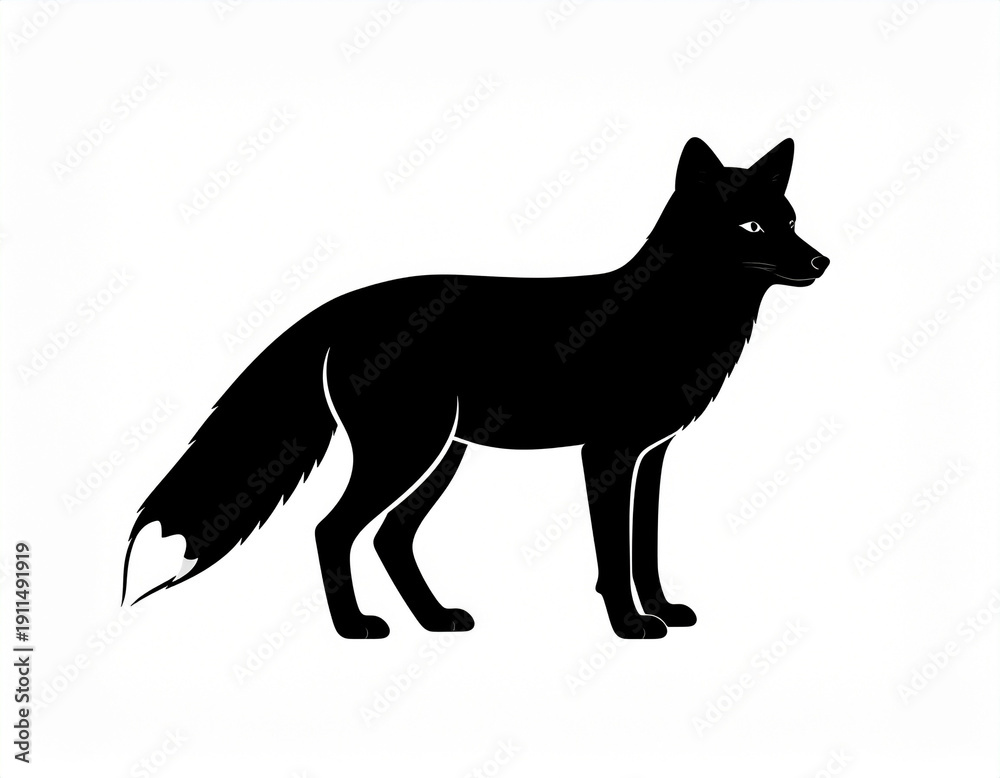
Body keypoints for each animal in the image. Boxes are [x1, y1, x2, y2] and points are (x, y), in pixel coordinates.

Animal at [122, 136, 829, 639]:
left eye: (791, 220)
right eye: (753, 228)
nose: (821, 261)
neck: (673, 315)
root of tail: (345, 304)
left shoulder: (651, 455)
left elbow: (646, 547)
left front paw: (664, 609)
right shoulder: (606, 454)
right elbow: (613, 556)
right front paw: (630, 626)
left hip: (440, 458)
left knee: (388, 537)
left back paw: (435, 620)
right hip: (408, 454)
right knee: (332, 530)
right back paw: (355, 629)